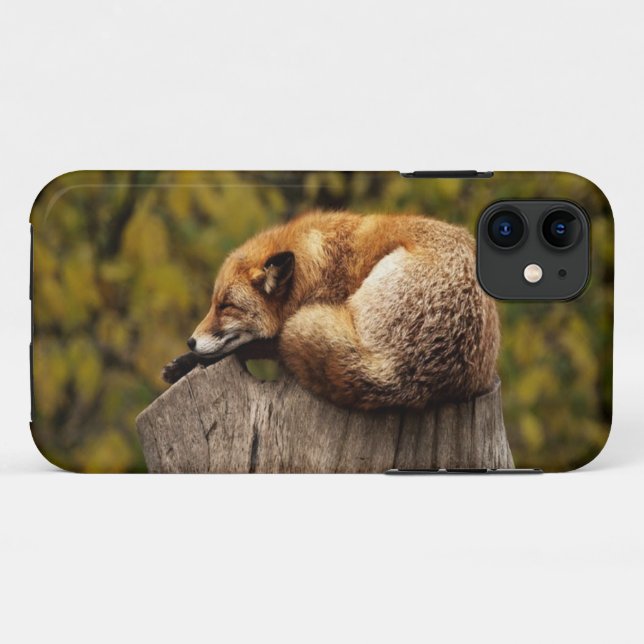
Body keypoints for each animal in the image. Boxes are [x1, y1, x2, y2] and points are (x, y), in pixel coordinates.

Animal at [162, 211, 500, 410]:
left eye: (226, 306)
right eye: (213, 304)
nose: (190, 340)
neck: (318, 266)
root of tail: (403, 376)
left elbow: (252, 346)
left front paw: (187, 362)